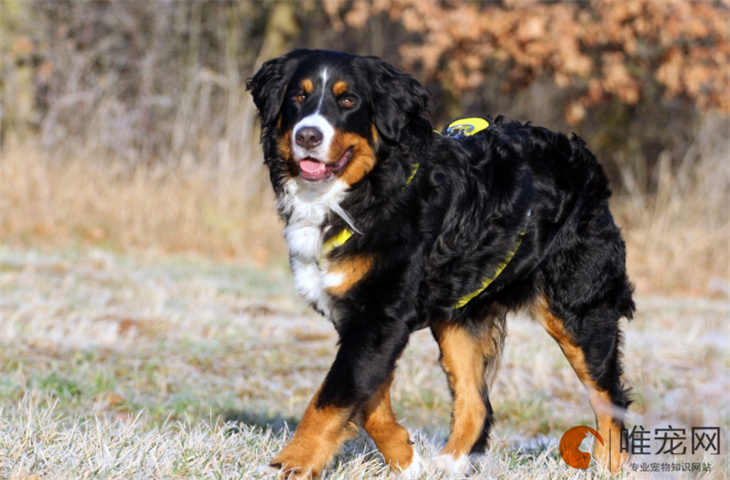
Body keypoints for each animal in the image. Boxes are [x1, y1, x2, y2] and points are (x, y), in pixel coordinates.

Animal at [246, 50, 632, 478]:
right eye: (299, 96)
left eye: (348, 101)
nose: (308, 136)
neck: (368, 191)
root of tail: (581, 157)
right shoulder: (364, 319)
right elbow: (368, 400)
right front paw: (406, 460)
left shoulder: (379, 316)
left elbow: (331, 398)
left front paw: (289, 464)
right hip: (459, 317)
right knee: (476, 402)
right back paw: (448, 464)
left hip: (578, 312)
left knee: (608, 398)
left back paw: (609, 468)